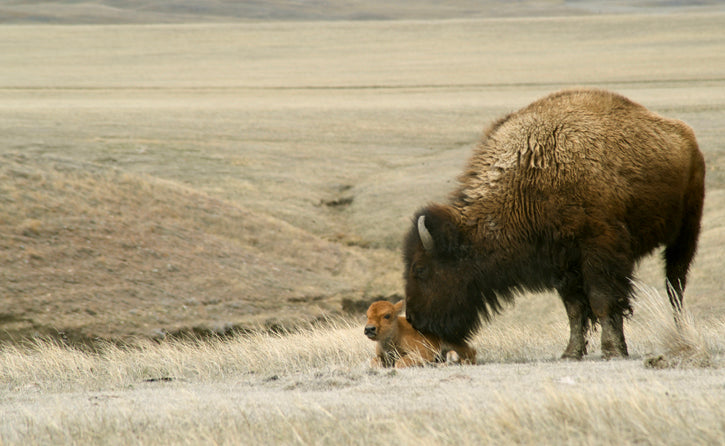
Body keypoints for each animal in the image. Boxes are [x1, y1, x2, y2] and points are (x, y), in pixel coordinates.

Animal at [402, 89, 700, 360]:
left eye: (420, 269)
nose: (415, 319)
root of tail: (687, 136)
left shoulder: (599, 251)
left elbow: (602, 300)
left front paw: (613, 351)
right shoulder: (563, 263)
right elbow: (575, 310)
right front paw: (571, 353)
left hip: (686, 233)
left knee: (675, 285)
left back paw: (680, 333)